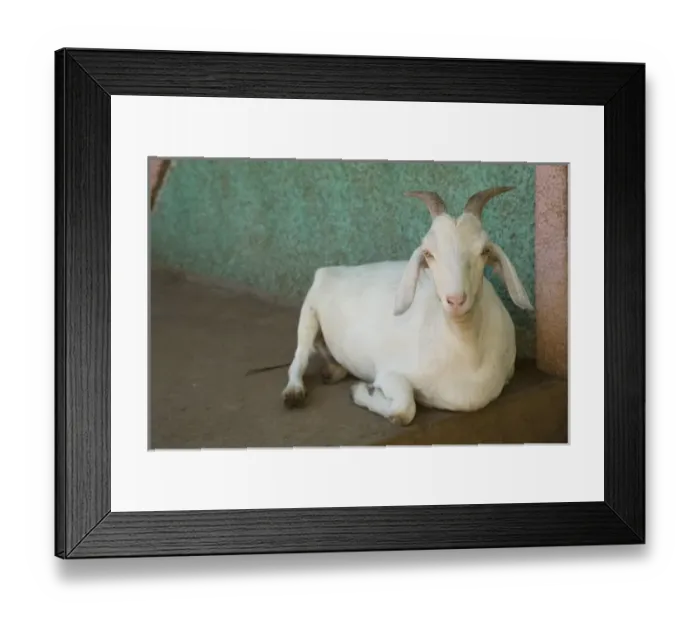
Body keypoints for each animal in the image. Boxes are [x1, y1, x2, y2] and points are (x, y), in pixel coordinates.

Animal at [281, 186, 534, 426]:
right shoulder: (388, 372)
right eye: (428, 253)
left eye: (484, 251)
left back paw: (333, 371)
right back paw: (294, 392)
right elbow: (403, 410)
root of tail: (330, 270)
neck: (467, 352)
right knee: (300, 356)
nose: (455, 300)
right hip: (309, 312)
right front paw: (362, 391)